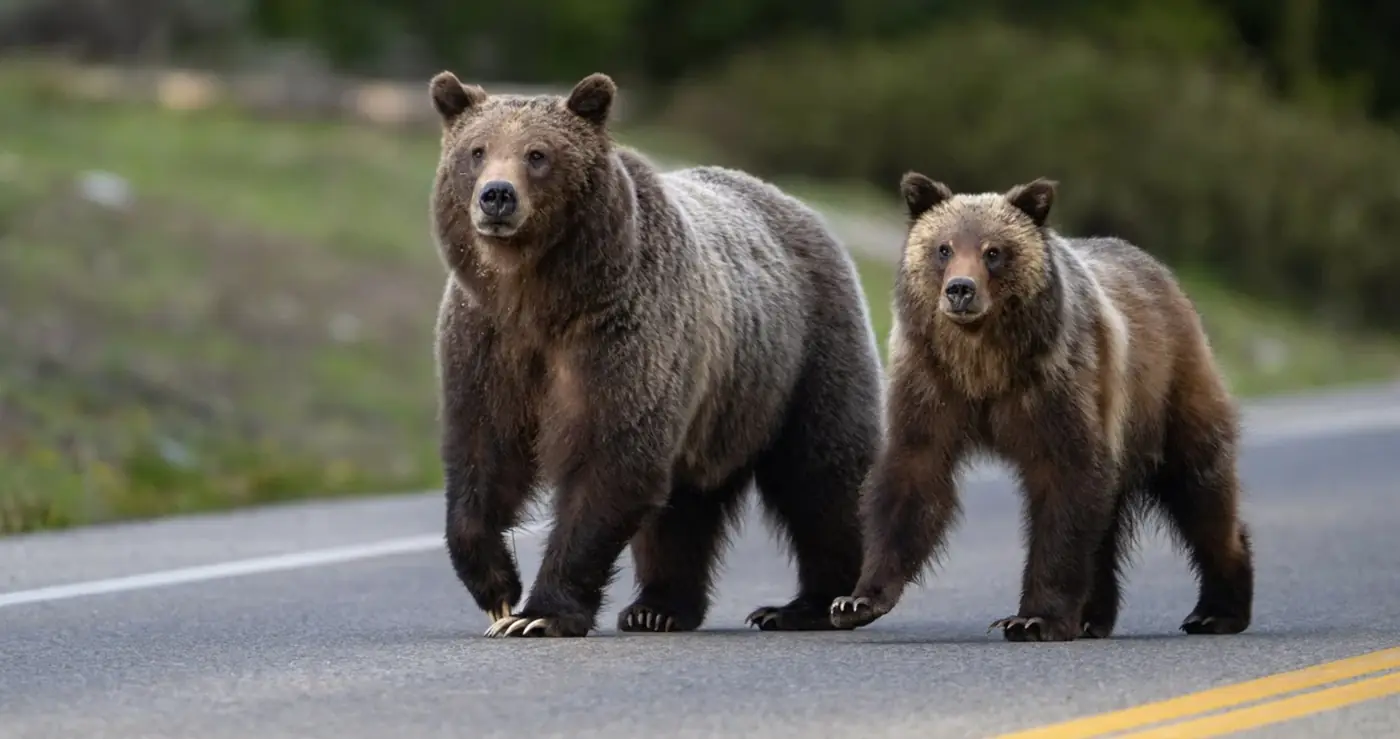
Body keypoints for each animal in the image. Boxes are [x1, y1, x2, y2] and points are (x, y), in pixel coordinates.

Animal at [427, 70, 885, 638]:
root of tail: (798, 205)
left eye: (538, 154)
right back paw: (659, 607)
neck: (539, 297)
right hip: (719, 401)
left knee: (821, 475)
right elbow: (482, 452)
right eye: (477, 150)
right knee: (683, 507)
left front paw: (539, 614)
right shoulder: (488, 343)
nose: (496, 196)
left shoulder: (620, 336)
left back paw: (810, 605)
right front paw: (497, 589)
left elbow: (610, 457)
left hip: (806, 353)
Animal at [829, 173, 1255, 642]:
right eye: (943, 248)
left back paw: (1217, 611)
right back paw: (1092, 616)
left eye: (993, 251)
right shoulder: (931, 385)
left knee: (1200, 491)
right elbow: (912, 477)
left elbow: (1064, 484)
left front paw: (1033, 618)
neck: (984, 362)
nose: (960, 290)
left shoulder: (1054, 384)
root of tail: (1165, 275)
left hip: (1170, 392)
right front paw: (857, 599)